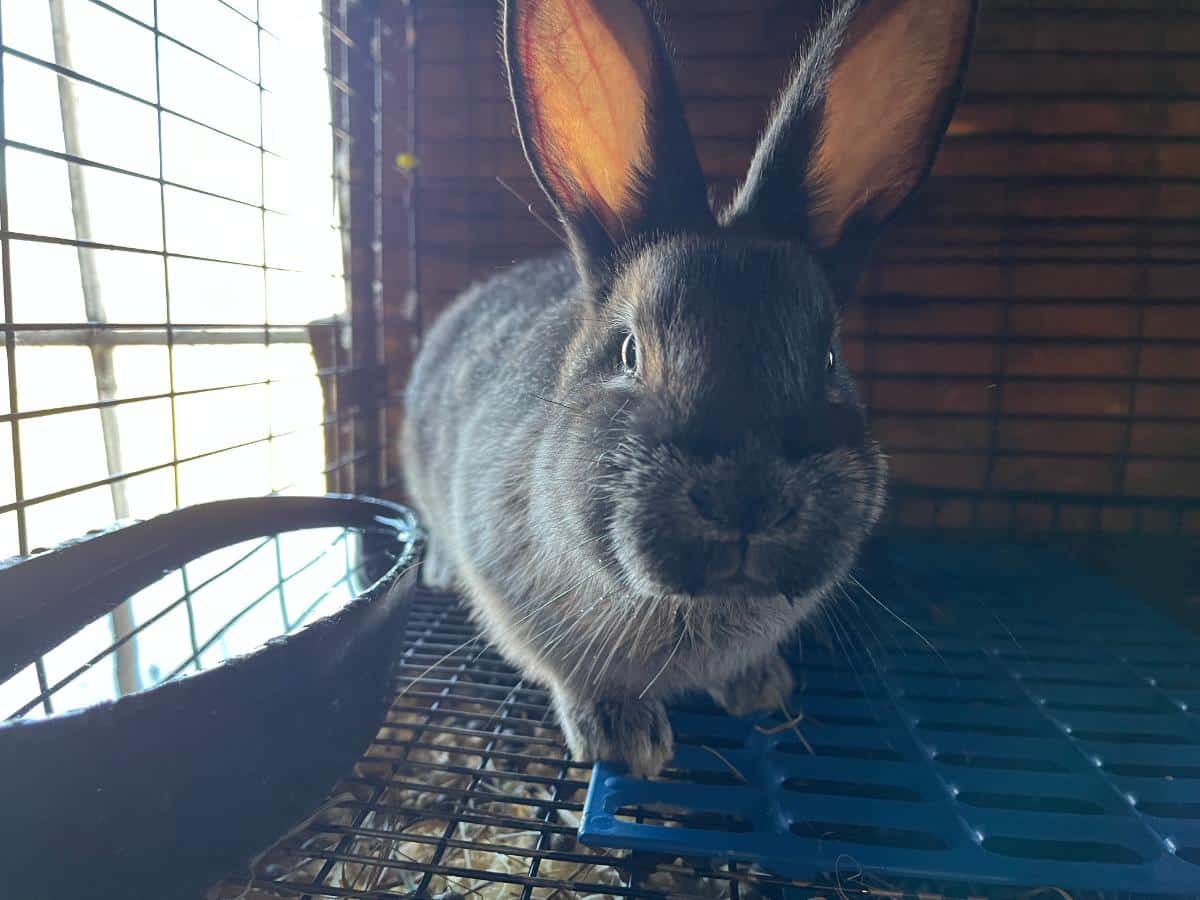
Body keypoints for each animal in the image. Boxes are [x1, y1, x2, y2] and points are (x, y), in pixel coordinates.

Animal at [401, 0, 979, 775]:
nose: (747, 501)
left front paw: (762, 689)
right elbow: (575, 676)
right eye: (630, 351)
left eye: (829, 356)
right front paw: (625, 739)